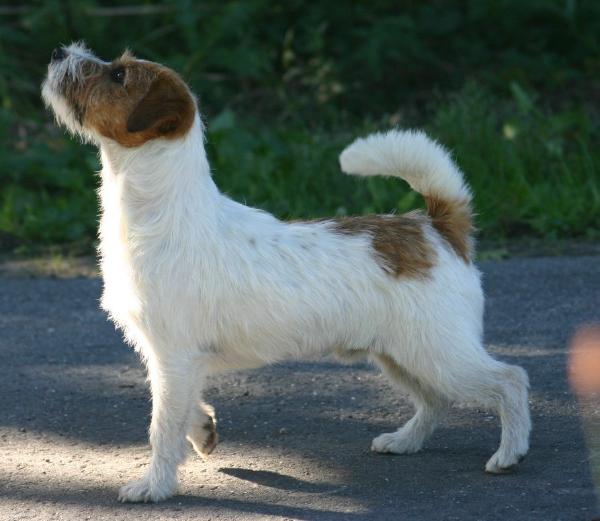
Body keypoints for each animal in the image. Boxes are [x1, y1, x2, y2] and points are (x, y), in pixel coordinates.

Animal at [41, 43, 528, 500]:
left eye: (118, 75)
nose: (60, 52)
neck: (165, 209)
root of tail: (434, 226)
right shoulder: (170, 360)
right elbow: (181, 408)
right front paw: (203, 431)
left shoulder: (173, 356)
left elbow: (161, 426)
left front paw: (154, 486)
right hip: (402, 354)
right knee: (435, 399)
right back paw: (404, 441)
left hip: (439, 352)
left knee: (509, 380)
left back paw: (508, 454)